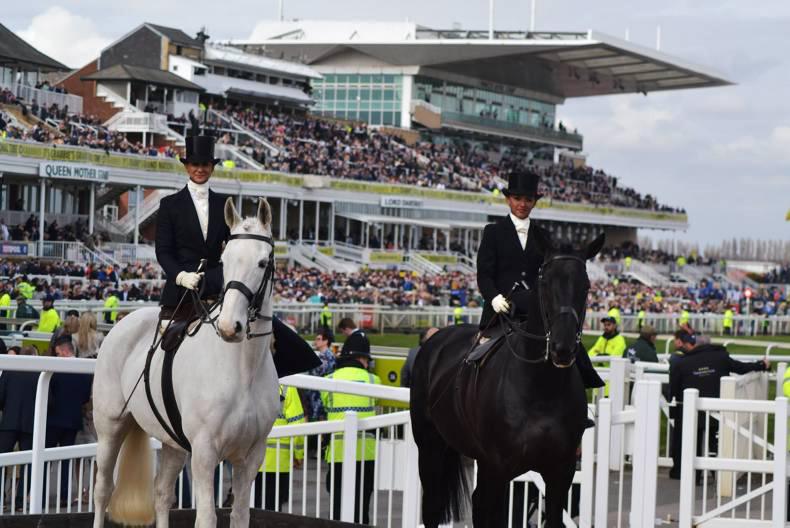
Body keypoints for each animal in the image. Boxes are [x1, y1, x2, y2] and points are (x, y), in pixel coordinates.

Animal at [91, 197, 280, 528]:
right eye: (225, 261)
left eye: (261, 263)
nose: (230, 327)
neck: (242, 371)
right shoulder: (204, 454)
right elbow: (206, 517)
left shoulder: (251, 456)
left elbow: (240, 515)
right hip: (110, 428)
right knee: (103, 490)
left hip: (173, 444)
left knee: (162, 493)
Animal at [410, 231, 605, 528]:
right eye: (545, 282)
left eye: (586, 286)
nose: (562, 348)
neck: (541, 389)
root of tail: (435, 340)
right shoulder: (499, 467)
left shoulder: (561, 471)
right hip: (430, 446)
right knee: (433, 506)